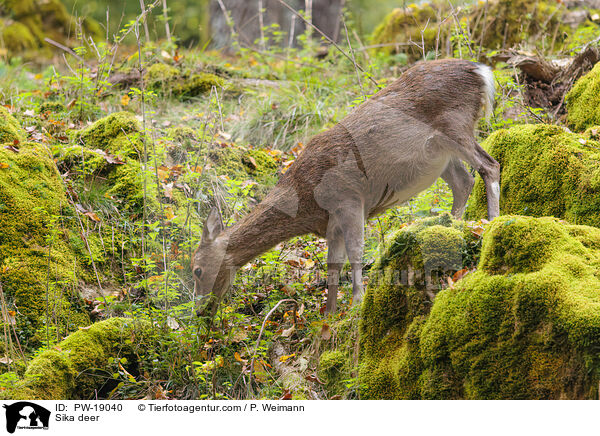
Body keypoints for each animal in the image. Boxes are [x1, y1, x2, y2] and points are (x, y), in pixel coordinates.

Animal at [193, 59, 502, 316]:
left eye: (196, 270)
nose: (200, 311)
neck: (306, 201)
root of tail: (481, 72)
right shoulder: (331, 223)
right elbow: (333, 264)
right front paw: (329, 314)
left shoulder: (349, 199)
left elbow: (356, 252)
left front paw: (357, 300)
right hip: (440, 155)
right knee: (464, 181)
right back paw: (452, 223)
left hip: (456, 125)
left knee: (490, 166)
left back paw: (492, 220)